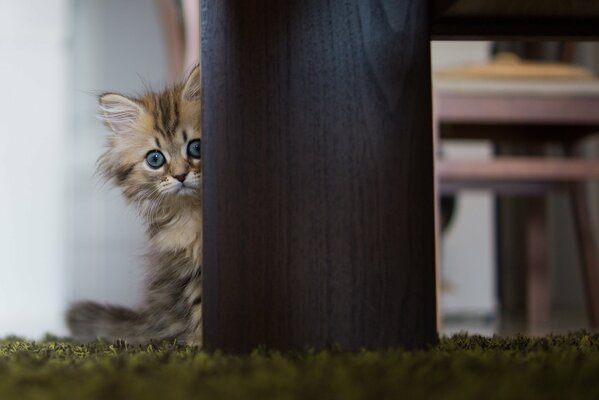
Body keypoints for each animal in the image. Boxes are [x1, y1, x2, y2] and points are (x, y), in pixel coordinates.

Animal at [67, 66, 204, 346]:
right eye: (155, 159)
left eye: (196, 147)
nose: (181, 176)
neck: (193, 213)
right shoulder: (186, 265)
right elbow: (198, 303)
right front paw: (200, 343)